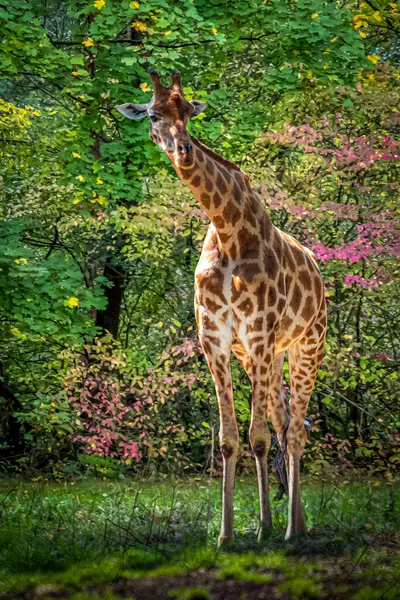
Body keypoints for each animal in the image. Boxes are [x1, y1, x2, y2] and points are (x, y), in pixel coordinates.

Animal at [117, 70, 326, 544]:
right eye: (153, 114)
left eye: (189, 112)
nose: (183, 150)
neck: (228, 229)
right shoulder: (216, 339)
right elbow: (231, 438)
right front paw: (229, 535)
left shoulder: (259, 332)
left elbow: (257, 436)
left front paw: (264, 531)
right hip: (261, 356)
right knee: (284, 422)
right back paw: (291, 521)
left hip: (307, 346)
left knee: (295, 431)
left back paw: (292, 531)